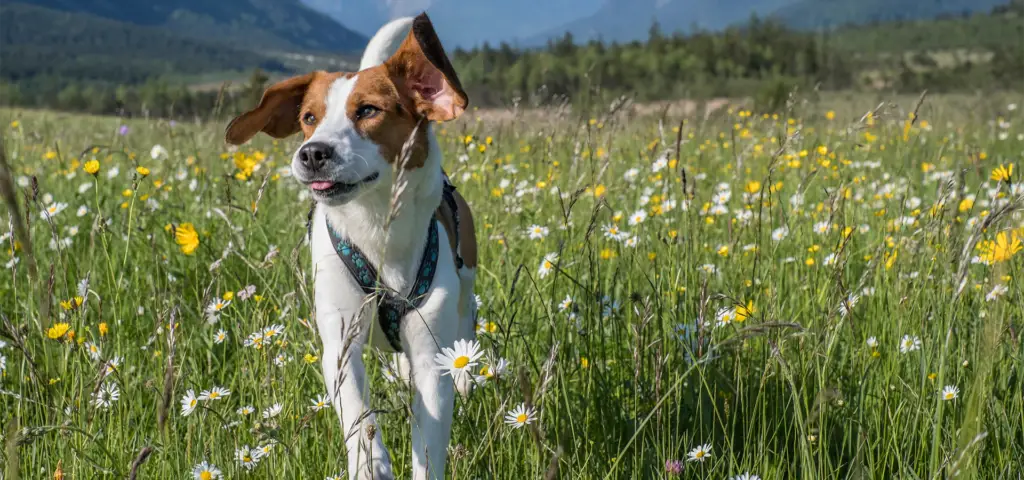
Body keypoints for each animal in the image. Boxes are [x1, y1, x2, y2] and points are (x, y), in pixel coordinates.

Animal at [226, 14, 477, 478]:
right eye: (309, 117)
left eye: (367, 111)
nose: (312, 153)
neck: (377, 230)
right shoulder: (340, 342)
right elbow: (358, 412)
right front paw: (369, 462)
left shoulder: (431, 354)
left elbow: (429, 439)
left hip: (464, 282)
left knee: (466, 318)